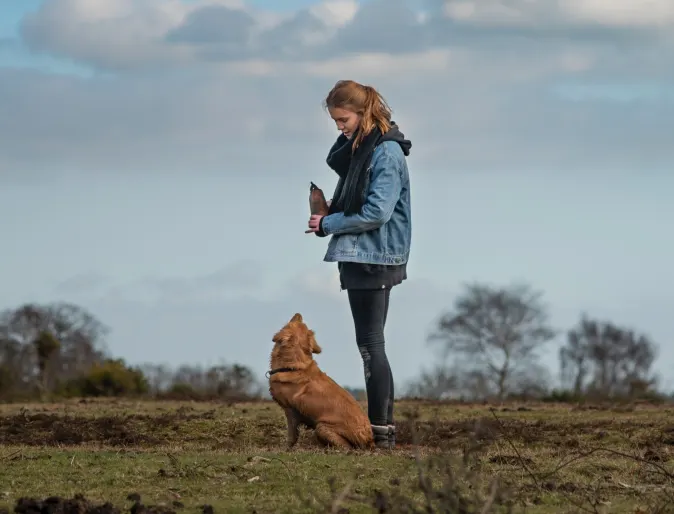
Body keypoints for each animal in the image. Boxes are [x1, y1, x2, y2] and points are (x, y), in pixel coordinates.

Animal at [266, 310, 372, 446]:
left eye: (291, 323)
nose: (298, 313)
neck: (292, 366)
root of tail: (369, 439)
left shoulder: (290, 411)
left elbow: (291, 436)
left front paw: (286, 448)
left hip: (321, 427)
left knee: (346, 446)